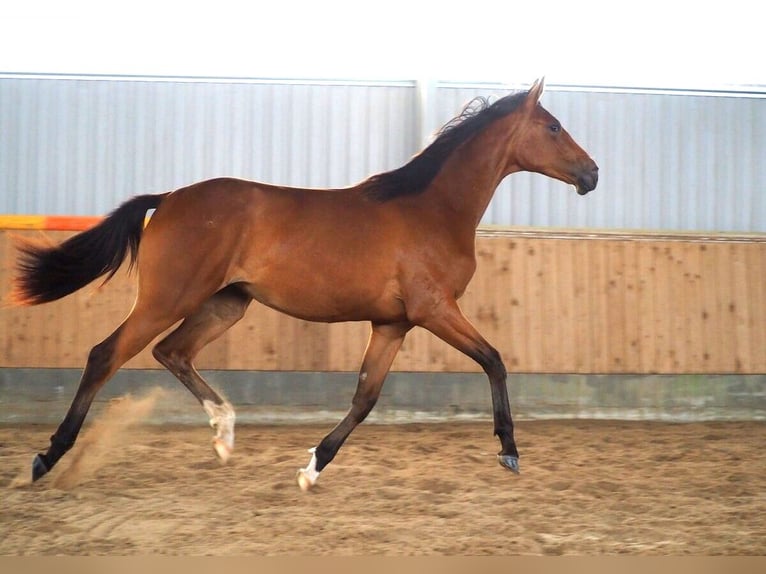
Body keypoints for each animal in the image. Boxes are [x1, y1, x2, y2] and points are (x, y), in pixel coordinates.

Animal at [12, 76, 600, 490]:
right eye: (553, 126)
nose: (592, 173)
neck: (432, 209)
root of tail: (169, 198)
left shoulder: (392, 323)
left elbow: (365, 397)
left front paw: (312, 467)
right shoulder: (434, 310)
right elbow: (495, 361)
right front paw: (509, 451)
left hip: (227, 304)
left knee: (172, 352)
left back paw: (224, 434)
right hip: (167, 298)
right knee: (105, 355)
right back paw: (46, 458)